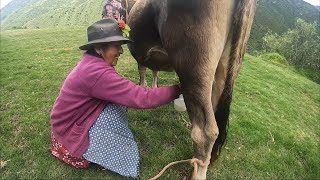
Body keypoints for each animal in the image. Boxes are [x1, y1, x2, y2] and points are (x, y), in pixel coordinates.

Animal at [126, 0, 256, 179]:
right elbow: (154, 71)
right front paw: (153, 87)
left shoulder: (141, 56)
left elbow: (143, 71)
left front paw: (143, 87)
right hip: (225, 68)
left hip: (193, 64)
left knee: (205, 132)